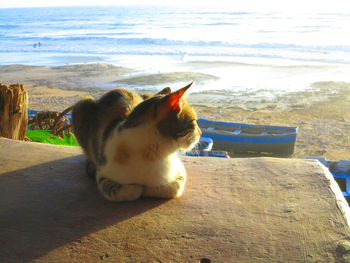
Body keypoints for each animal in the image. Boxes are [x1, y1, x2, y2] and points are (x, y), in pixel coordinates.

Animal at [72, 83, 200, 203]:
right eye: (193, 121)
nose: (200, 133)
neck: (152, 151)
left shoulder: (179, 170)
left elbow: (173, 188)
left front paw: (150, 189)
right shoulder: (102, 173)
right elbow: (119, 192)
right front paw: (137, 189)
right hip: (81, 105)